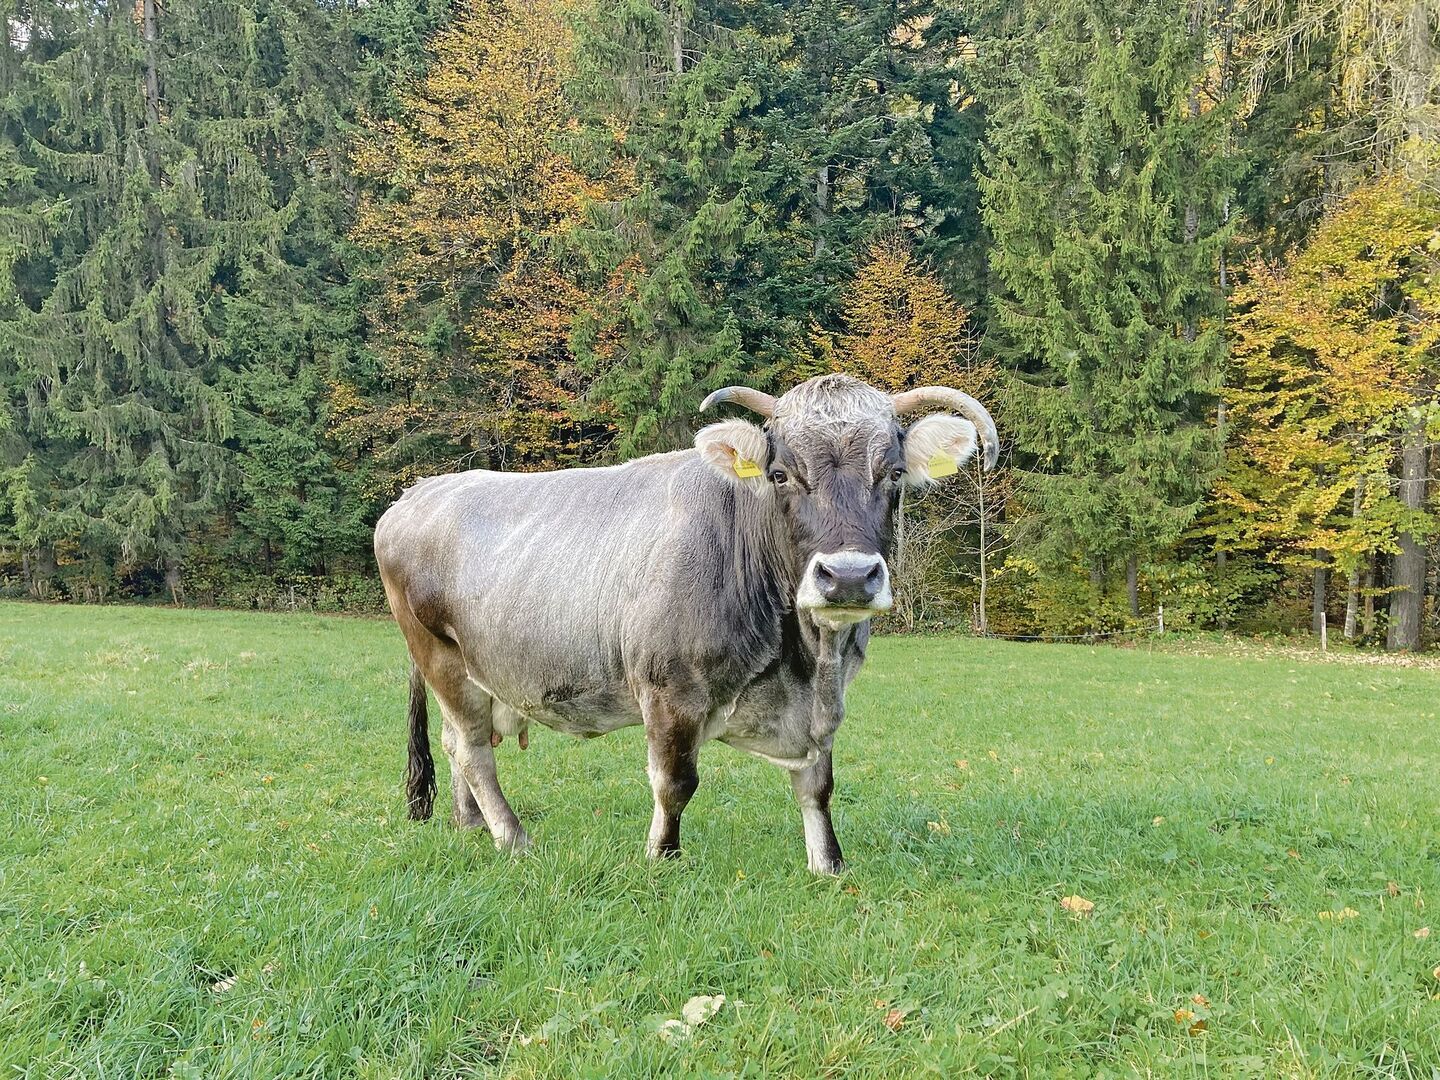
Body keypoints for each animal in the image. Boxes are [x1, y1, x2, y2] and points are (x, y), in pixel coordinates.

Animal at [374, 374, 998, 873]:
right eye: (779, 474)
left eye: (893, 473)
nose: (847, 576)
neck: (805, 661)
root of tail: (419, 490)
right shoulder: (669, 691)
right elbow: (675, 783)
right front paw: (662, 857)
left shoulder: (824, 706)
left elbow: (817, 786)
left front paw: (828, 864)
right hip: (440, 656)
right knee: (473, 749)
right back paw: (512, 837)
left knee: (456, 741)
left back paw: (471, 825)